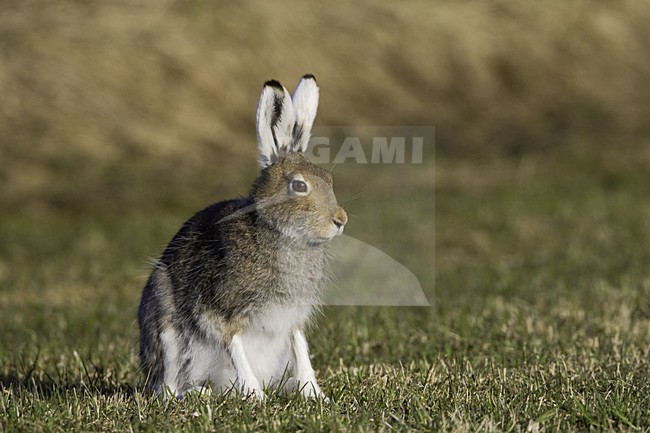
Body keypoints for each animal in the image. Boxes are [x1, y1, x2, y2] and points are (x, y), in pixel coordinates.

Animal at [137, 75, 347, 401]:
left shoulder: (293, 318)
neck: (279, 232)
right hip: (166, 327)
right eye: (299, 186)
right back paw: (199, 394)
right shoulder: (221, 310)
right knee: (169, 388)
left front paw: (315, 394)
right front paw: (255, 395)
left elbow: (301, 349)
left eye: (329, 180)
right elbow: (234, 345)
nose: (340, 220)